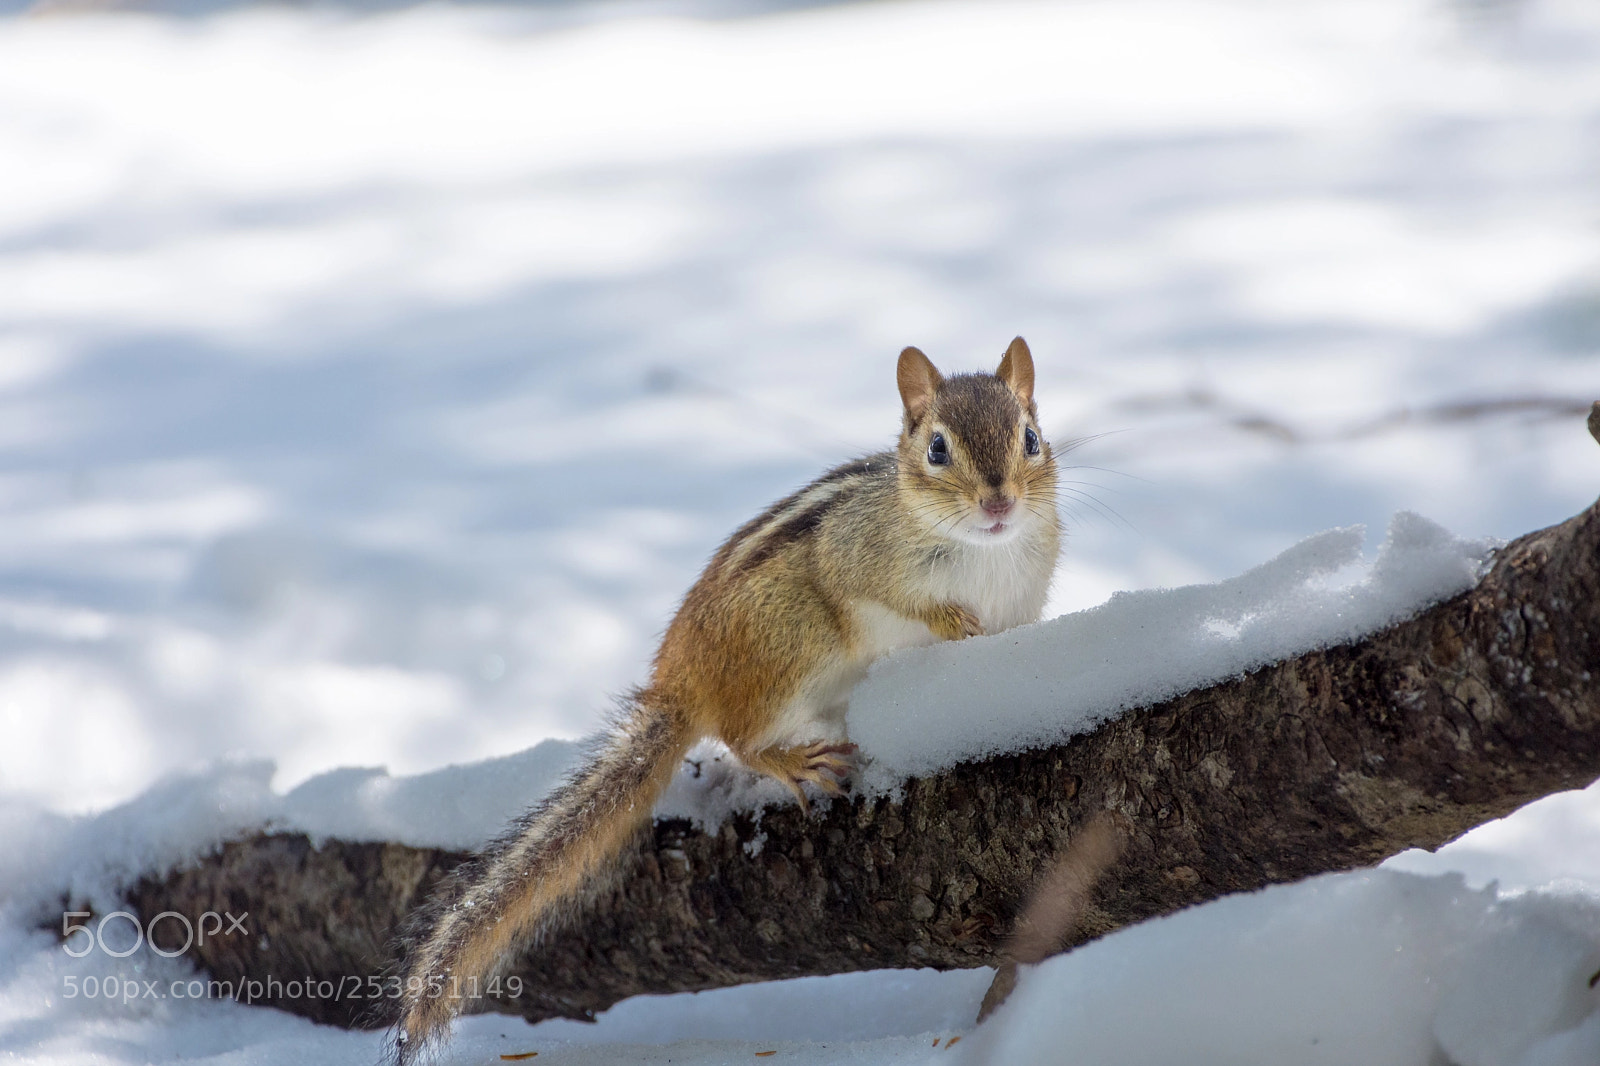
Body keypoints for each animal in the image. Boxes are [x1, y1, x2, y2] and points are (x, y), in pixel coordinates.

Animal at [388, 337, 1062, 1062]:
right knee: (740, 738)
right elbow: (899, 598)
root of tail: (680, 684)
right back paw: (789, 761)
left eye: (1030, 438)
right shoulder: (856, 558)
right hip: (795, 652)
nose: (999, 502)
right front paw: (948, 621)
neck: (986, 550)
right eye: (937, 449)